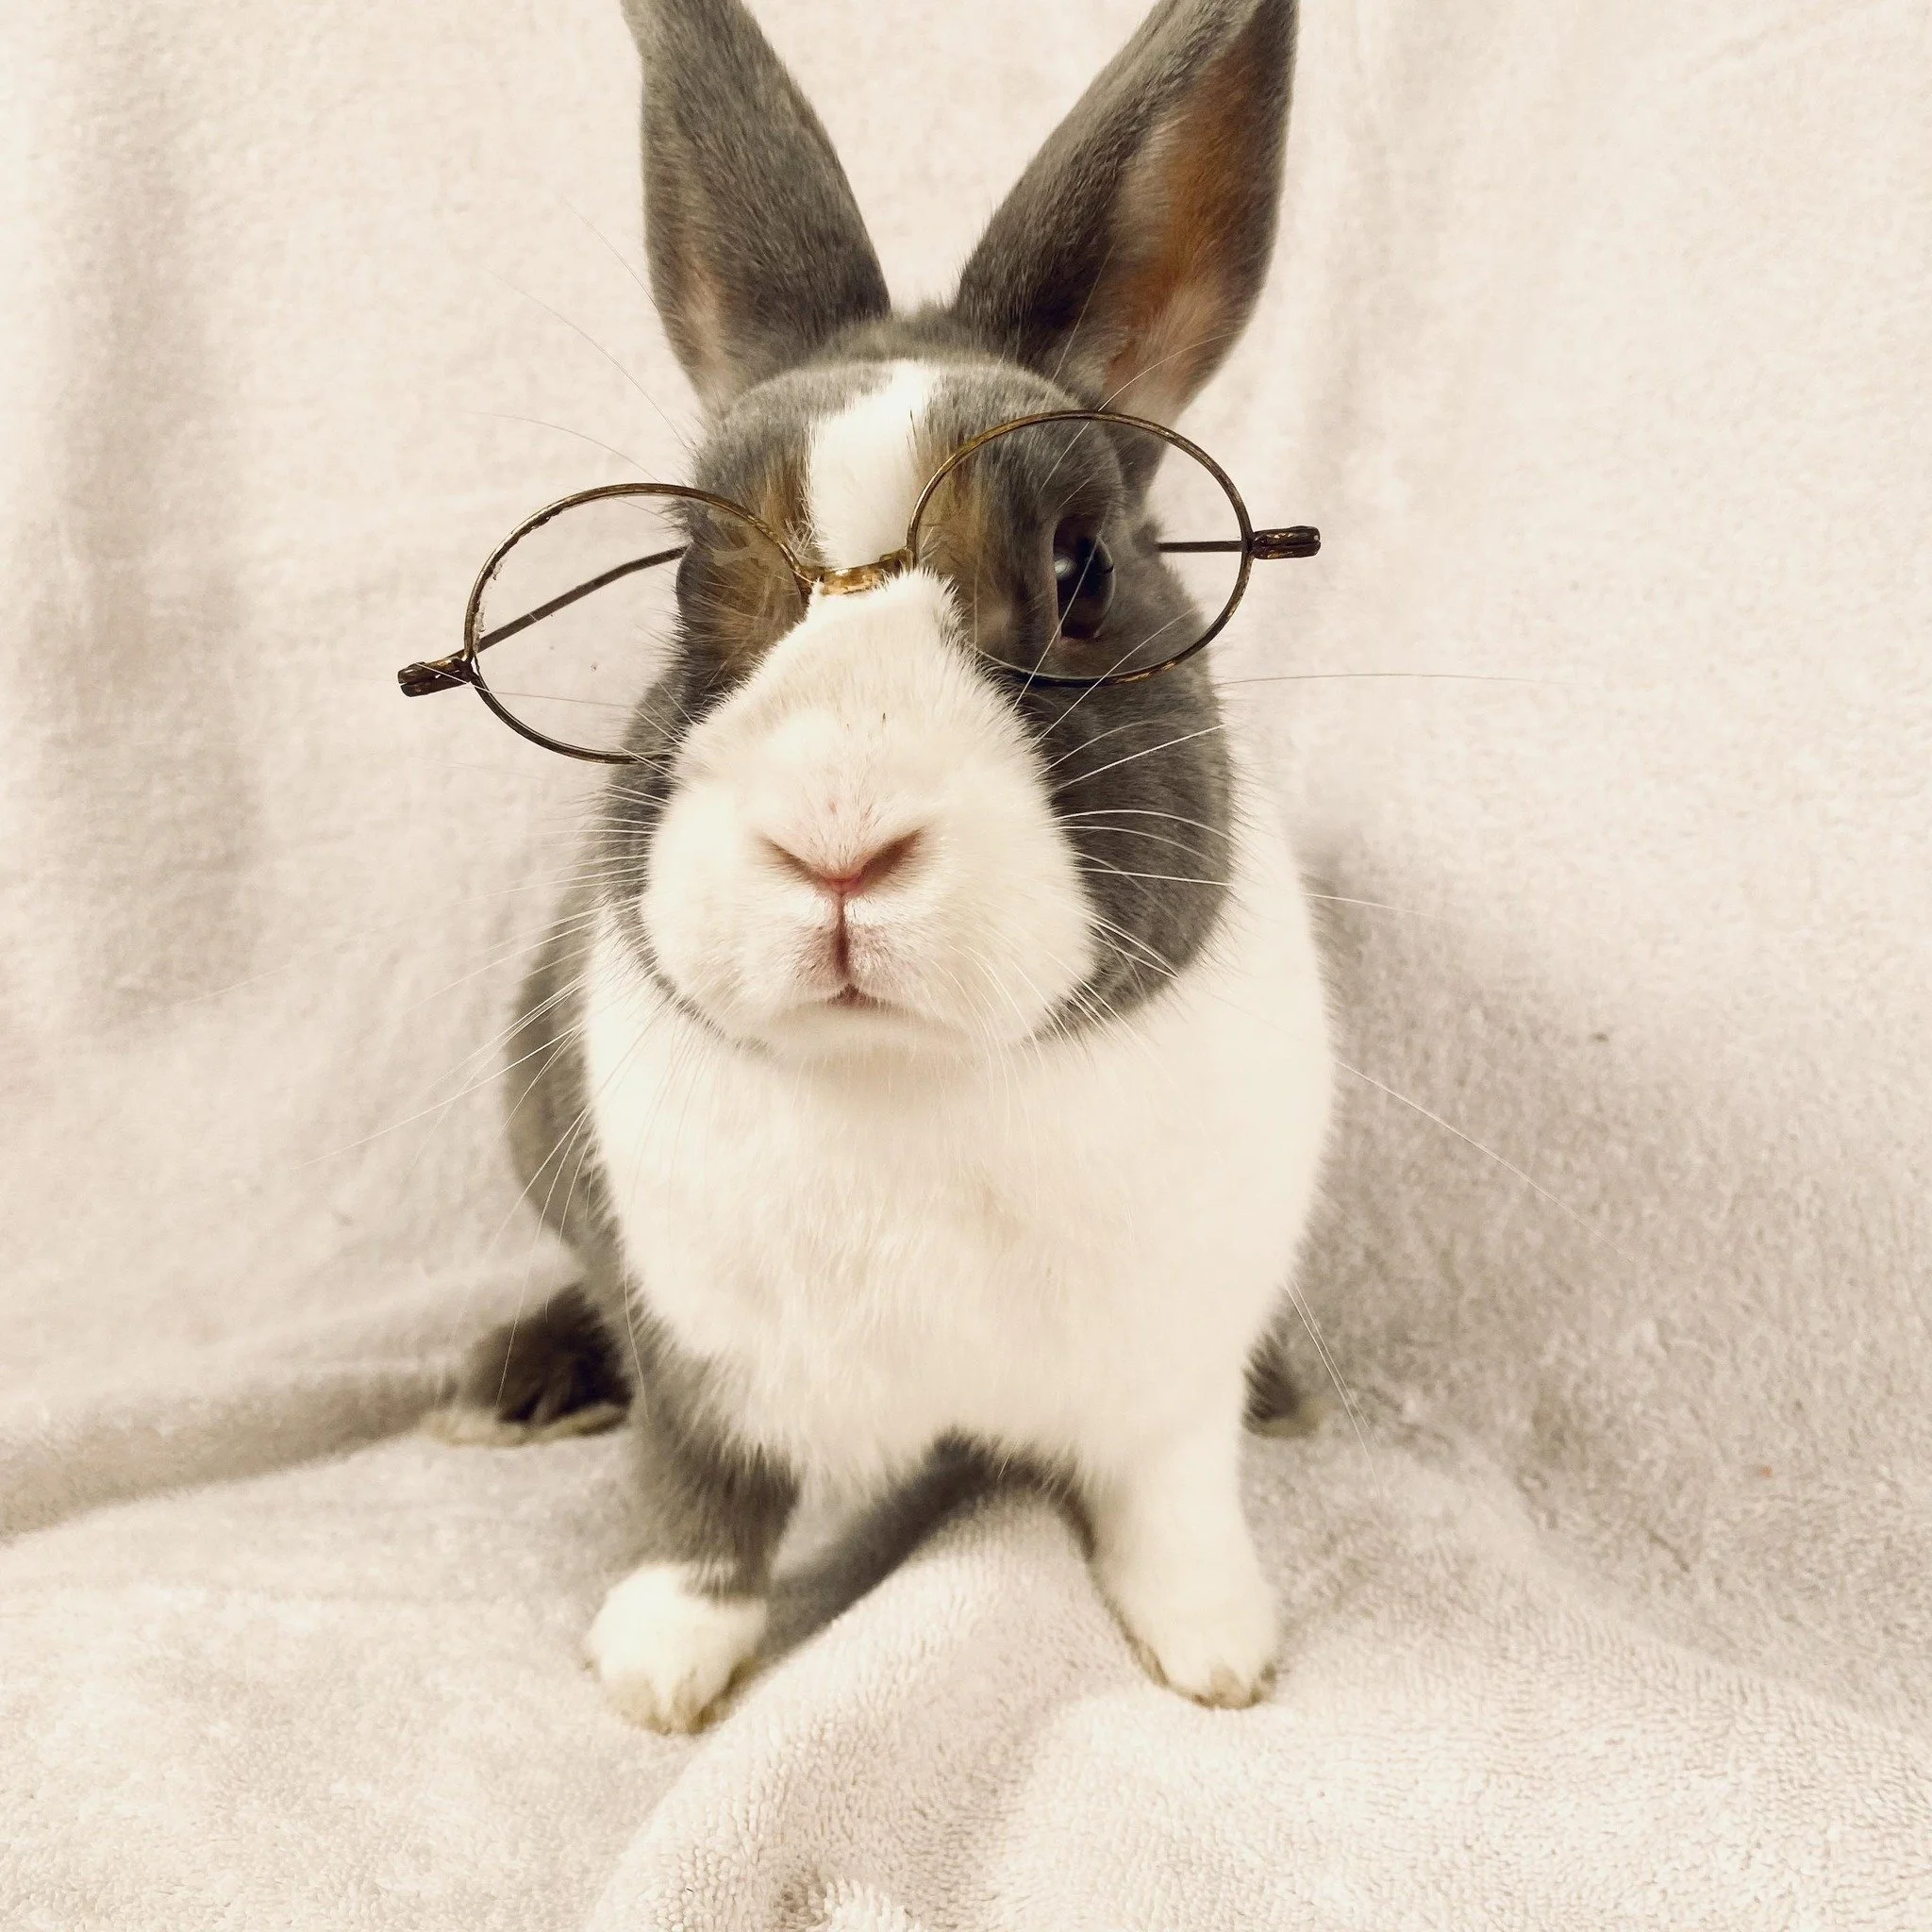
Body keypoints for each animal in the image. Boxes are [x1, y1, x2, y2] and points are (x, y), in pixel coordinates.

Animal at [434, 0, 1333, 1732]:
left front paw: (1218, 1651)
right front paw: (657, 1669)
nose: (839, 840)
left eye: (1081, 571)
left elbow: (1174, 1494)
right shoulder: (697, 1350)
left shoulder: (1169, 1362)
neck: (915, 1085)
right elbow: (699, 1493)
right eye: (688, 584)